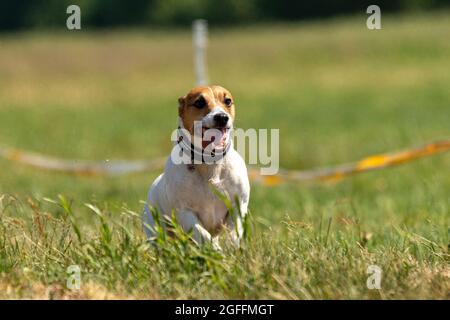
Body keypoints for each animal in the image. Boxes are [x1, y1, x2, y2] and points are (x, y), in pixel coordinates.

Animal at [142, 85, 250, 250]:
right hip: (155, 226)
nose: (221, 117)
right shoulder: (184, 211)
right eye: (199, 102)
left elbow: (234, 233)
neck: (209, 164)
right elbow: (202, 234)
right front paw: (215, 250)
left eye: (228, 101)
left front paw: (230, 248)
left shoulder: (238, 206)